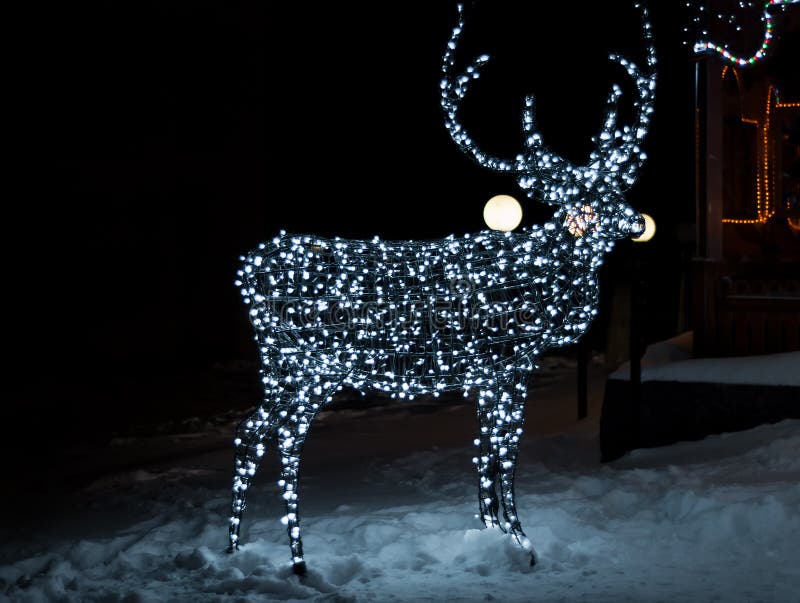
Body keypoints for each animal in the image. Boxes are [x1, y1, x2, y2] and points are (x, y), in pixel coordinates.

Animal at [228, 2, 656, 575]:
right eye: (585, 201)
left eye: (616, 188)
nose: (637, 223)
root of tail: (246, 268)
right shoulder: (506, 362)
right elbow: (503, 455)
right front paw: (524, 545)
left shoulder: (485, 373)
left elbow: (482, 456)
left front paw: (490, 535)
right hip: (305, 365)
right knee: (278, 438)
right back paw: (295, 561)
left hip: (285, 368)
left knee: (253, 435)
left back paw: (238, 551)